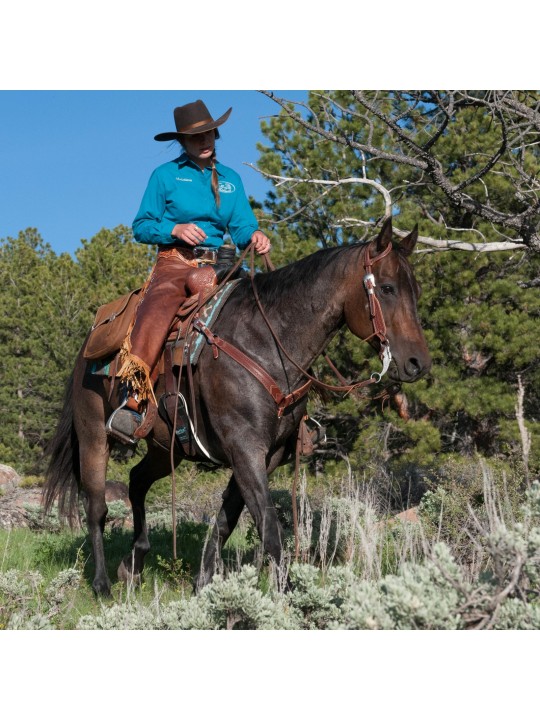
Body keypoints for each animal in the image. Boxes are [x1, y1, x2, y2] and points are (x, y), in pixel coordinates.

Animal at [42, 218, 430, 596]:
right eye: (387, 289)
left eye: (416, 291)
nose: (418, 363)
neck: (267, 341)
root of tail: (88, 344)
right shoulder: (244, 447)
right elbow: (268, 526)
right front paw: (286, 596)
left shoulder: (267, 455)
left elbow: (227, 518)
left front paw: (203, 582)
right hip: (94, 437)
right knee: (97, 507)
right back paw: (102, 584)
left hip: (165, 448)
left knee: (137, 481)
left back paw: (134, 563)